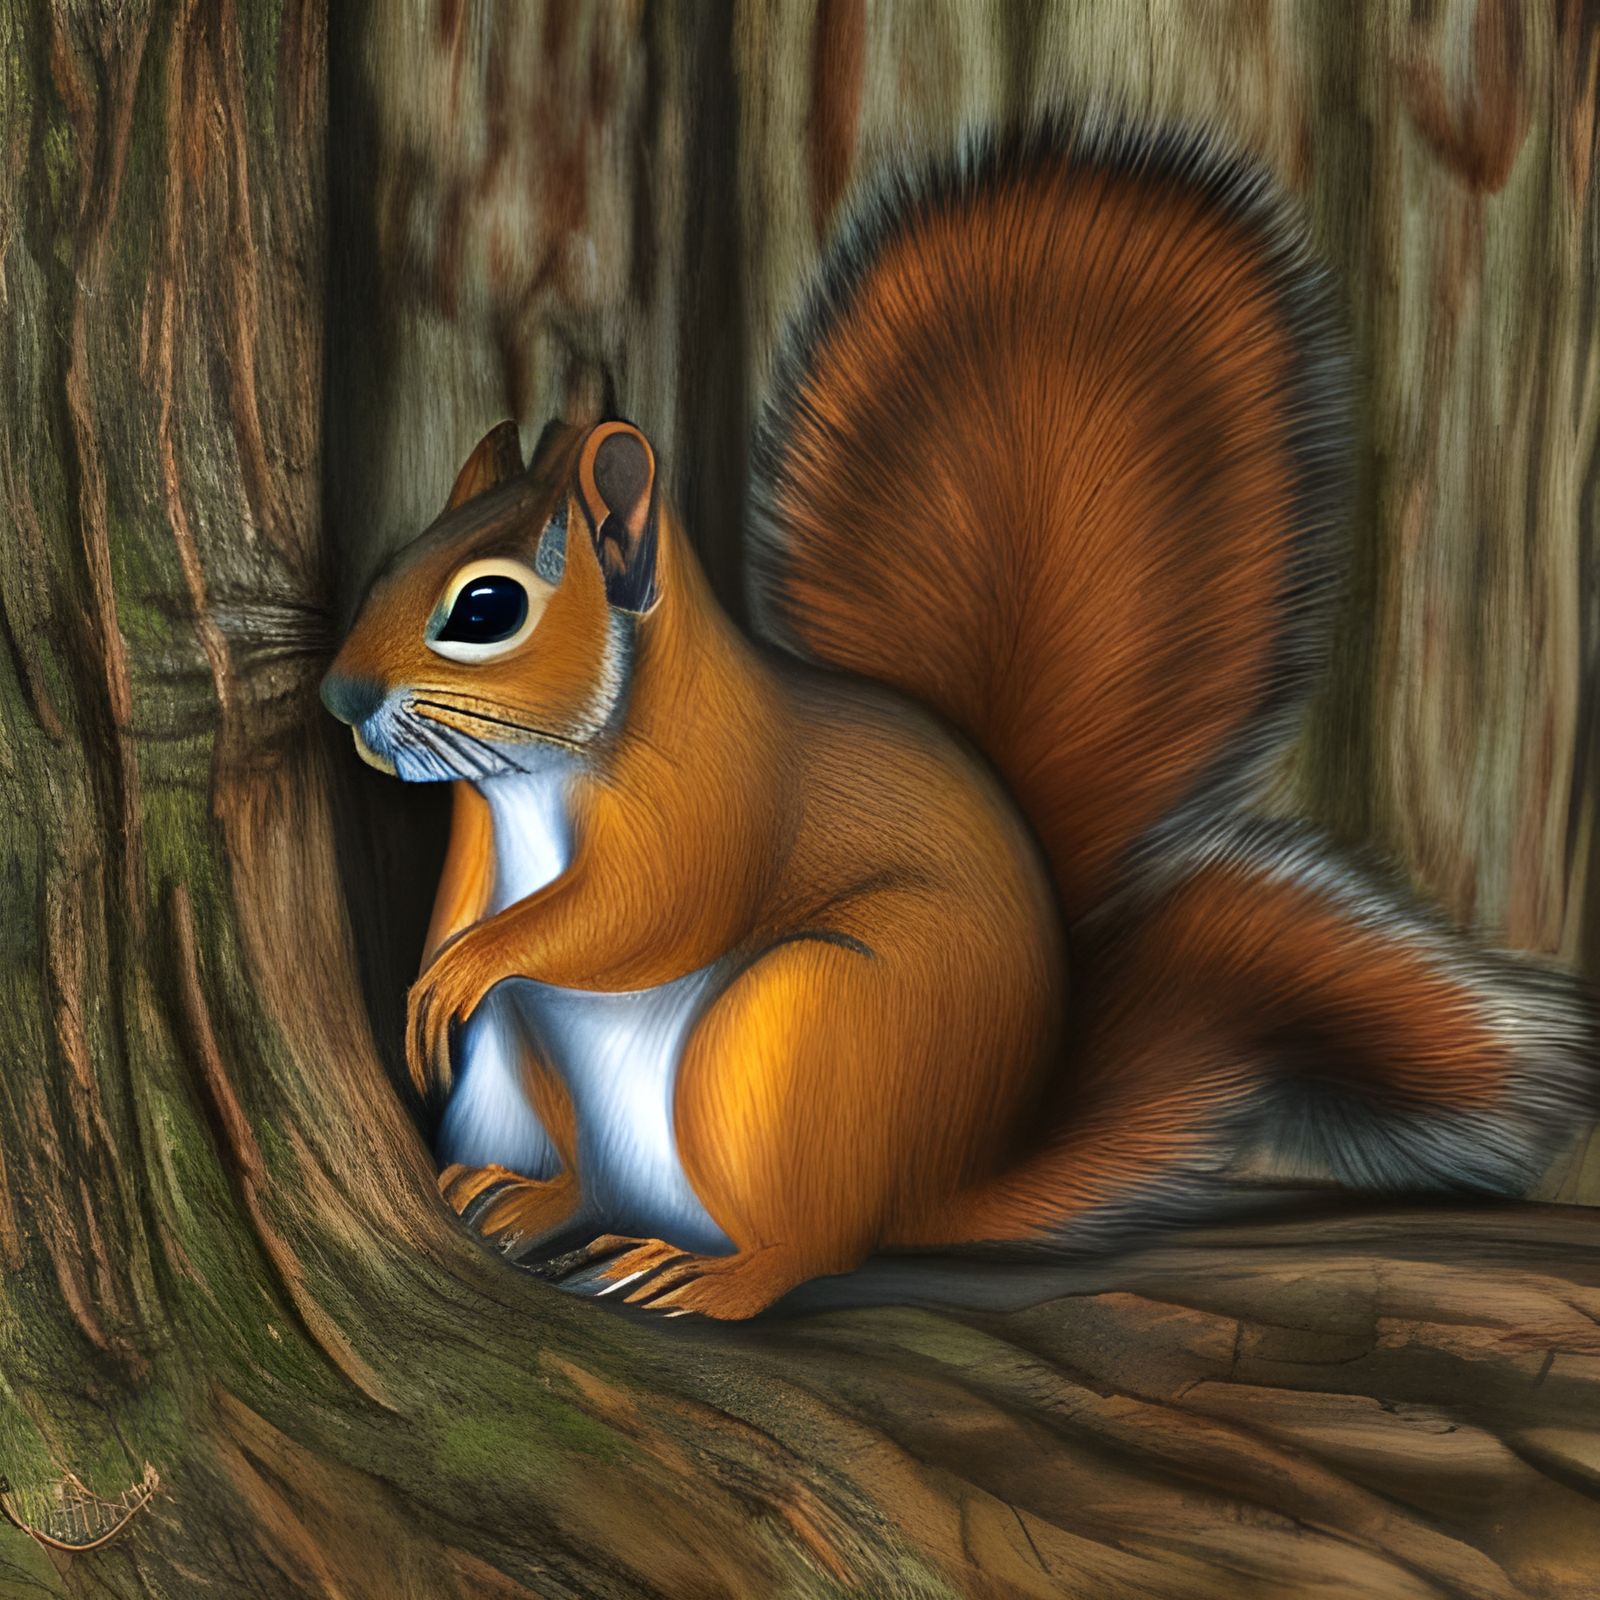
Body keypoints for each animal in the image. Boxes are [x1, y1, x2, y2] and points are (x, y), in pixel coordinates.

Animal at [322, 117, 1597, 1320]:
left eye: (486, 607)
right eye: (385, 566)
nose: (339, 696)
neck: (533, 777)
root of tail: (939, 1182)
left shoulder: (713, 789)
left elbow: (656, 905)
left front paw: (470, 963)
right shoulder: (481, 834)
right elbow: (472, 905)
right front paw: (441, 964)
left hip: (799, 1029)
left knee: (813, 1242)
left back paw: (710, 1275)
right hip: (527, 1072)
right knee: (589, 1175)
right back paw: (525, 1194)